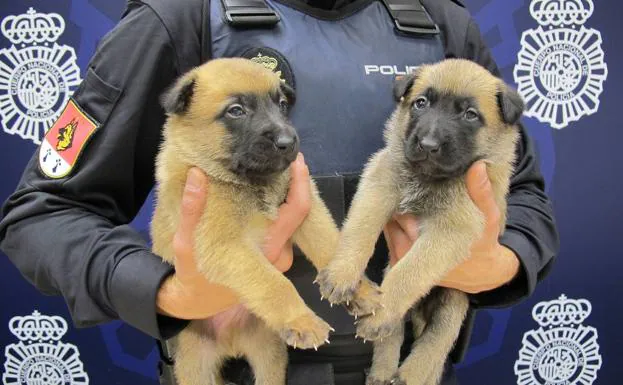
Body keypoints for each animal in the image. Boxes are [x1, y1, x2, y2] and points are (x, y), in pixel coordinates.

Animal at [152, 57, 376, 384]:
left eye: (282, 105)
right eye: (236, 111)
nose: (288, 141)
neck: (251, 183)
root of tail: (231, 342)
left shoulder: (308, 208)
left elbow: (329, 242)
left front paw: (356, 286)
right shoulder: (224, 245)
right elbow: (273, 282)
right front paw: (303, 319)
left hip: (269, 354)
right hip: (196, 366)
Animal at [316, 57, 528, 384]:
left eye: (470, 115)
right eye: (421, 103)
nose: (428, 145)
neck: (428, 180)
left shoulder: (451, 230)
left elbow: (410, 273)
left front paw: (382, 310)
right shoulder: (379, 184)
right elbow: (361, 229)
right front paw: (342, 273)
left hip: (452, 305)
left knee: (434, 345)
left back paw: (406, 372)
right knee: (392, 335)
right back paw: (381, 371)